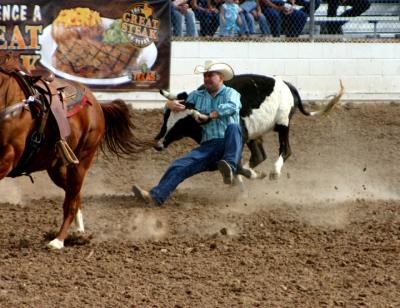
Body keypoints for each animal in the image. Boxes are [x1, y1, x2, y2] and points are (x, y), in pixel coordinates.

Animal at [0, 54, 147, 249]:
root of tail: (96, 104)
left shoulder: (8, 157)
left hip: (81, 162)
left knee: (70, 202)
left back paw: (58, 240)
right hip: (58, 167)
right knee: (75, 196)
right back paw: (78, 232)